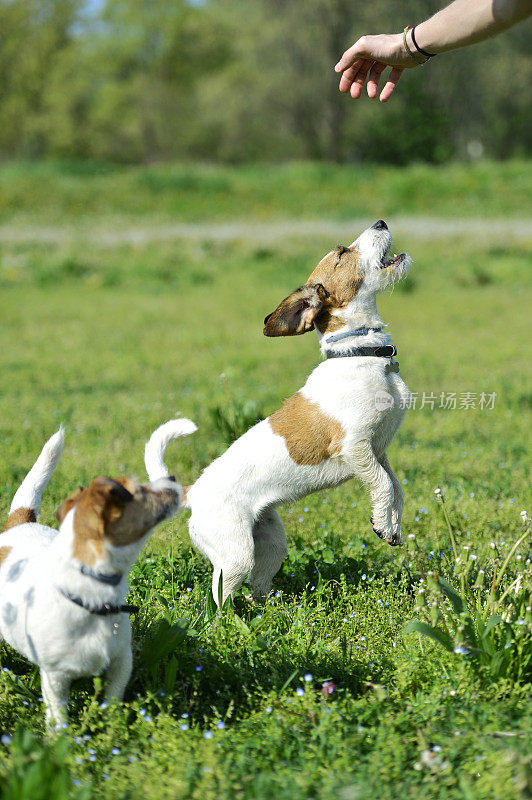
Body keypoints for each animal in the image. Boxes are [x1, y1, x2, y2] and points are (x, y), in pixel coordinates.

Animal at [0, 418, 195, 732]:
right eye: (140, 490)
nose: (174, 478)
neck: (92, 599)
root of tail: (19, 523)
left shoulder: (120, 663)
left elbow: (113, 701)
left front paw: (113, 730)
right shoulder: (55, 678)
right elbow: (58, 717)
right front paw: (62, 740)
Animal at [182, 222, 412, 604]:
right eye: (342, 253)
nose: (380, 222)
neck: (361, 354)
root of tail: (190, 493)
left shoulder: (379, 450)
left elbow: (396, 488)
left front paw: (390, 525)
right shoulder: (355, 447)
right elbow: (381, 484)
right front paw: (381, 522)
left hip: (271, 542)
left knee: (256, 589)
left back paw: (268, 611)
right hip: (235, 556)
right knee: (218, 598)